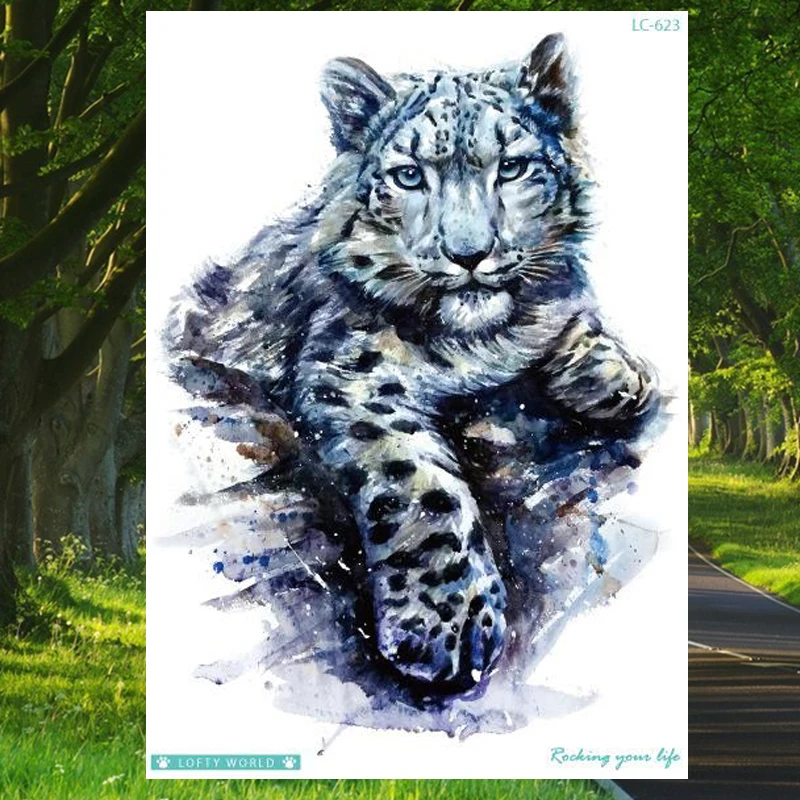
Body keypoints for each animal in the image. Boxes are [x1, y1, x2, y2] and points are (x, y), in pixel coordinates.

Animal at [166, 34, 659, 694]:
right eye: (408, 176)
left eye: (512, 167)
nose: (469, 254)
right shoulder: (354, 371)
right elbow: (423, 485)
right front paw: (447, 622)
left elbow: (572, 316)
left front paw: (614, 372)